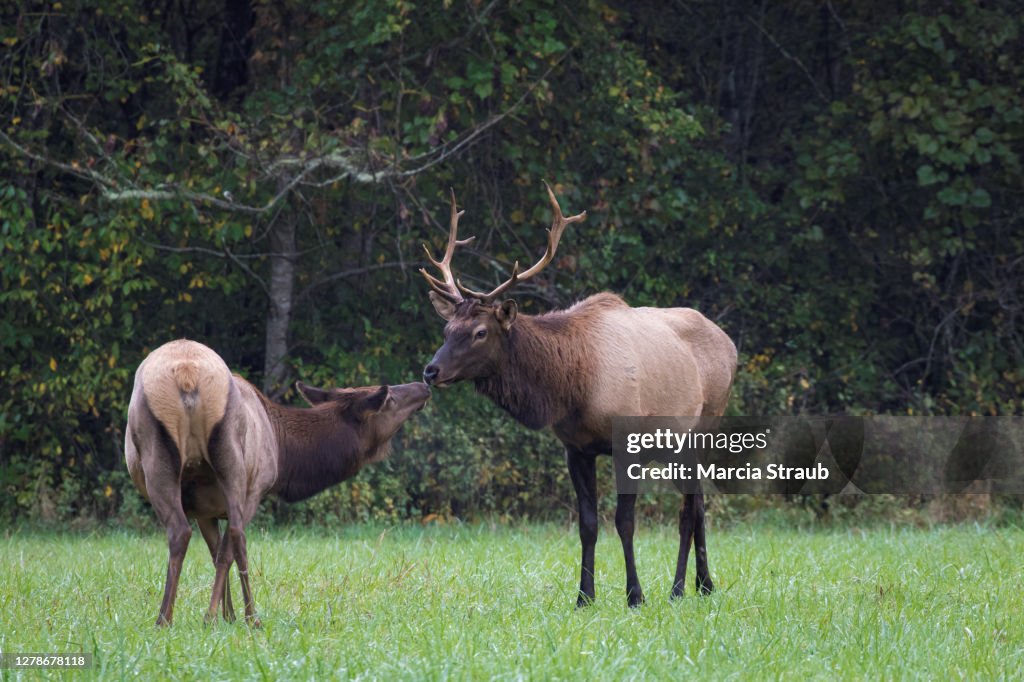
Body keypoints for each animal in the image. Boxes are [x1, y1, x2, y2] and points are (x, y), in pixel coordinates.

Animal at [125, 338, 430, 626]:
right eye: (389, 397)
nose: (423, 385)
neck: (283, 451)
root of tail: (187, 374)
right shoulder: (255, 487)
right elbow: (227, 552)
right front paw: (222, 616)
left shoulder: (205, 509)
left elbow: (214, 554)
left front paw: (227, 615)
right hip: (232, 463)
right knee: (234, 536)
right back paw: (248, 617)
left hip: (160, 459)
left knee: (181, 532)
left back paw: (166, 618)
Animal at [420, 185, 737, 607]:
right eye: (446, 329)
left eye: (479, 332)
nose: (431, 371)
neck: (574, 387)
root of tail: (730, 344)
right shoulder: (575, 448)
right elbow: (588, 524)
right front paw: (585, 596)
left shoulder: (627, 444)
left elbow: (624, 521)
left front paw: (634, 595)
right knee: (698, 505)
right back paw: (704, 585)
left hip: (702, 429)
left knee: (689, 510)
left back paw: (679, 588)